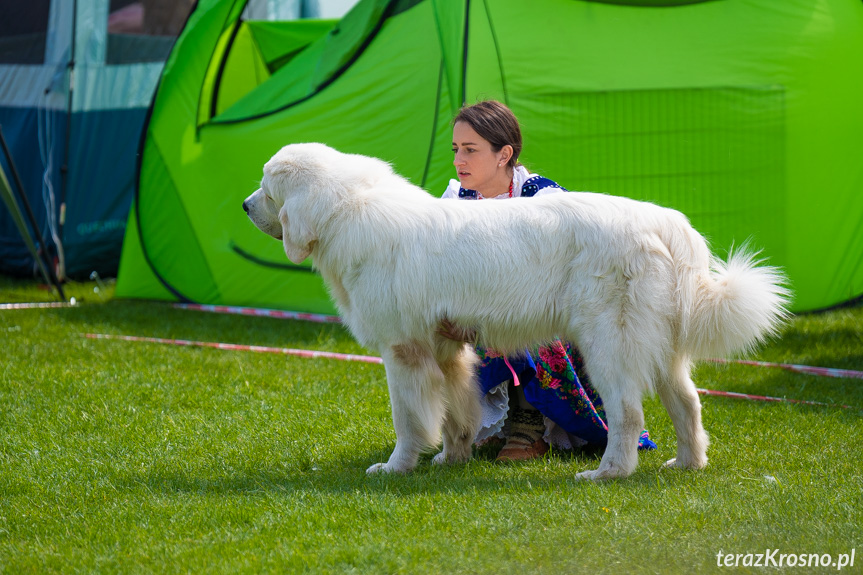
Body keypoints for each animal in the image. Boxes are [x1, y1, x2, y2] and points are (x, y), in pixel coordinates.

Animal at [241, 143, 788, 482]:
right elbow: (456, 412)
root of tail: (670, 224)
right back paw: (687, 464)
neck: (346, 210)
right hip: (663, 349)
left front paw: (397, 467)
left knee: (628, 413)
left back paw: (607, 472)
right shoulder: (446, 351)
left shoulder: (403, 351)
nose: (245, 206)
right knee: (688, 403)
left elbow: (409, 418)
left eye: (267, 187)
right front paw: (452, 458)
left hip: (609, 344)